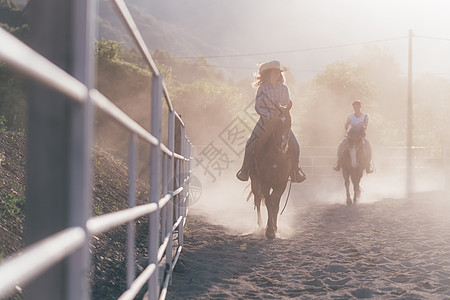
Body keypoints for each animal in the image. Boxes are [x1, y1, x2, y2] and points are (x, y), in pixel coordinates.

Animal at [248, 101, 294, 239]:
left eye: (290, 123)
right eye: (275, 122)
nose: (282, 145)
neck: (276, 158)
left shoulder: (282, 183)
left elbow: (275, 204)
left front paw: (274, 227)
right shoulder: (264, 182)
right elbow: (269, 202)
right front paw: (269, 231)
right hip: (254, 181)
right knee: (257, 200)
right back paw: (260, 225)